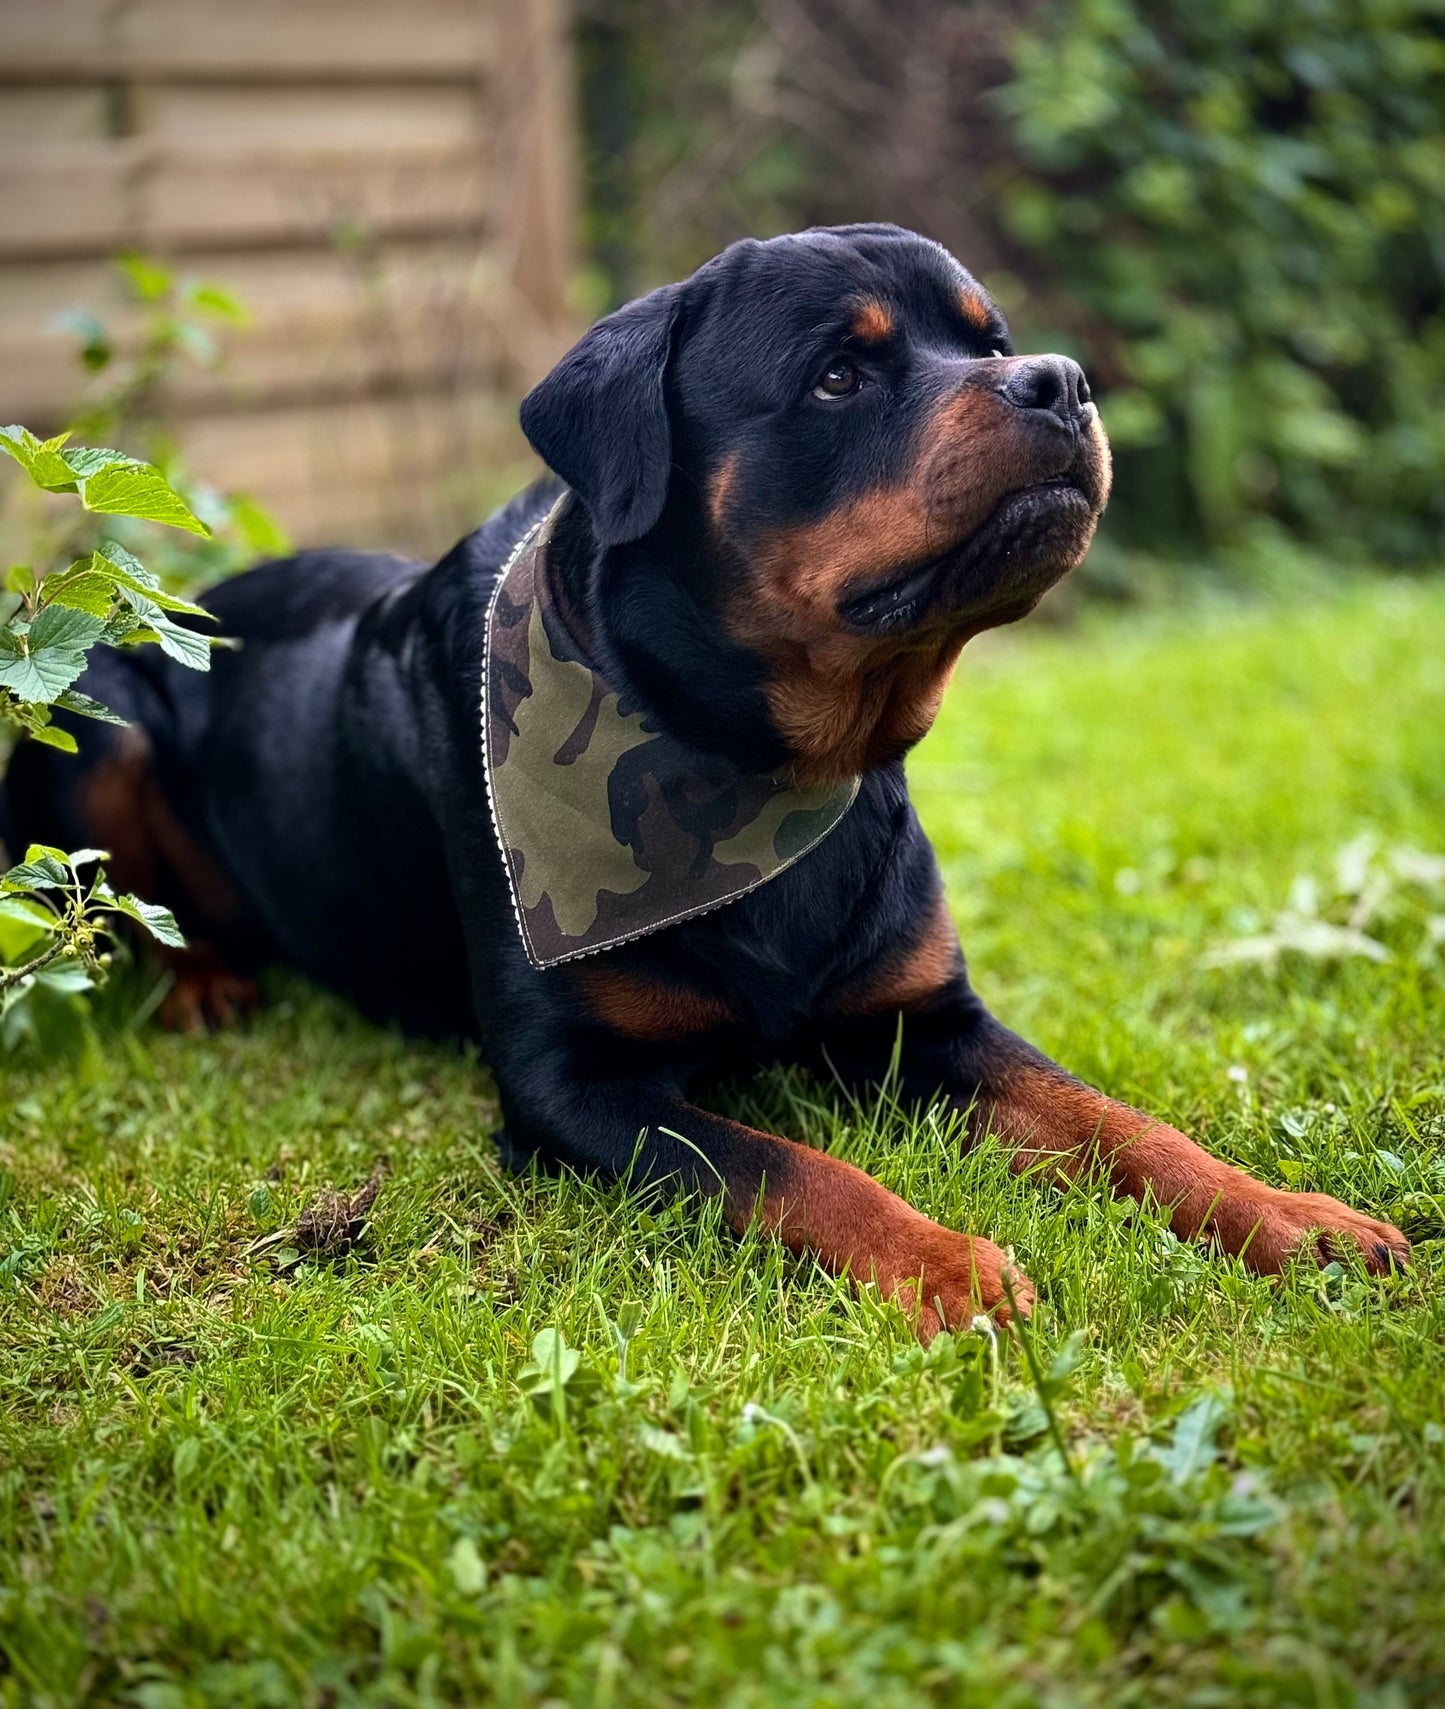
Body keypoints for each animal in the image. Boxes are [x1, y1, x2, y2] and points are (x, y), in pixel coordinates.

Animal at [0, 223, 1400, 1333]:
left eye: (989, 338)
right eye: (838, 374)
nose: (1057, 378)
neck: (755, 765)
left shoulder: (925, 1018)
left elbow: (1114, 1119)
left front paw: (1288, 1213)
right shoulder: (572, 1088)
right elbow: (787, 1164)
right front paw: (945, 1264)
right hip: (105, 714)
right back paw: (204, 982)